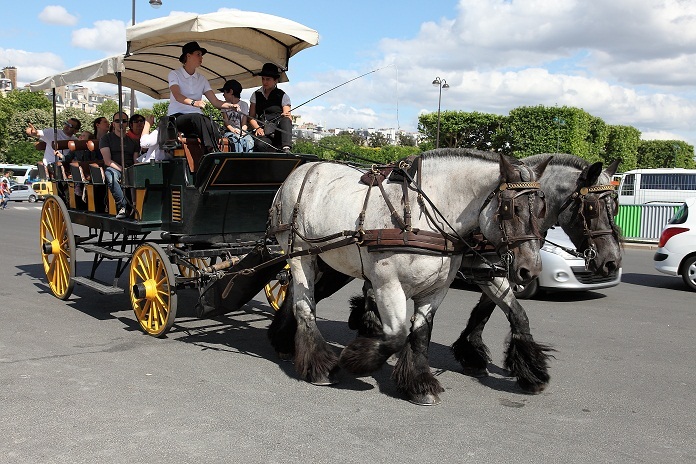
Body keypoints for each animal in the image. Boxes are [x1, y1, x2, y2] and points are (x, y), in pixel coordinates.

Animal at [266, 150, 548, 404]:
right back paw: (320, 366)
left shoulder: (437, 289)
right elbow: (398, 335)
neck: (423, 218)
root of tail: (303, 169)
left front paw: (419, 384)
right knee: (305, 306)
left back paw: (284, 342)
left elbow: (420, 334)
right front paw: (357, 359)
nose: (530, 270)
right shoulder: (387, 284)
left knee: (298, 296)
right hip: (300, 254)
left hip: (326, 259)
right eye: (512, 208)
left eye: (542, 210)